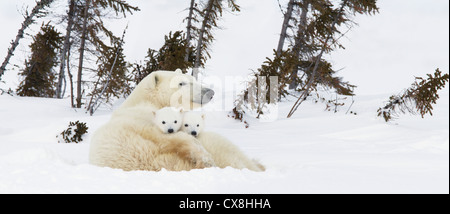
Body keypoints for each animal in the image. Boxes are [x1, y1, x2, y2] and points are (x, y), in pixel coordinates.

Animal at [88, 70, 264, 172]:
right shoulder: (142, 119)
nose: (209, 92)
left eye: (193, 78)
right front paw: (205, 159)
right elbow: (170, 136)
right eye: (182, 83)